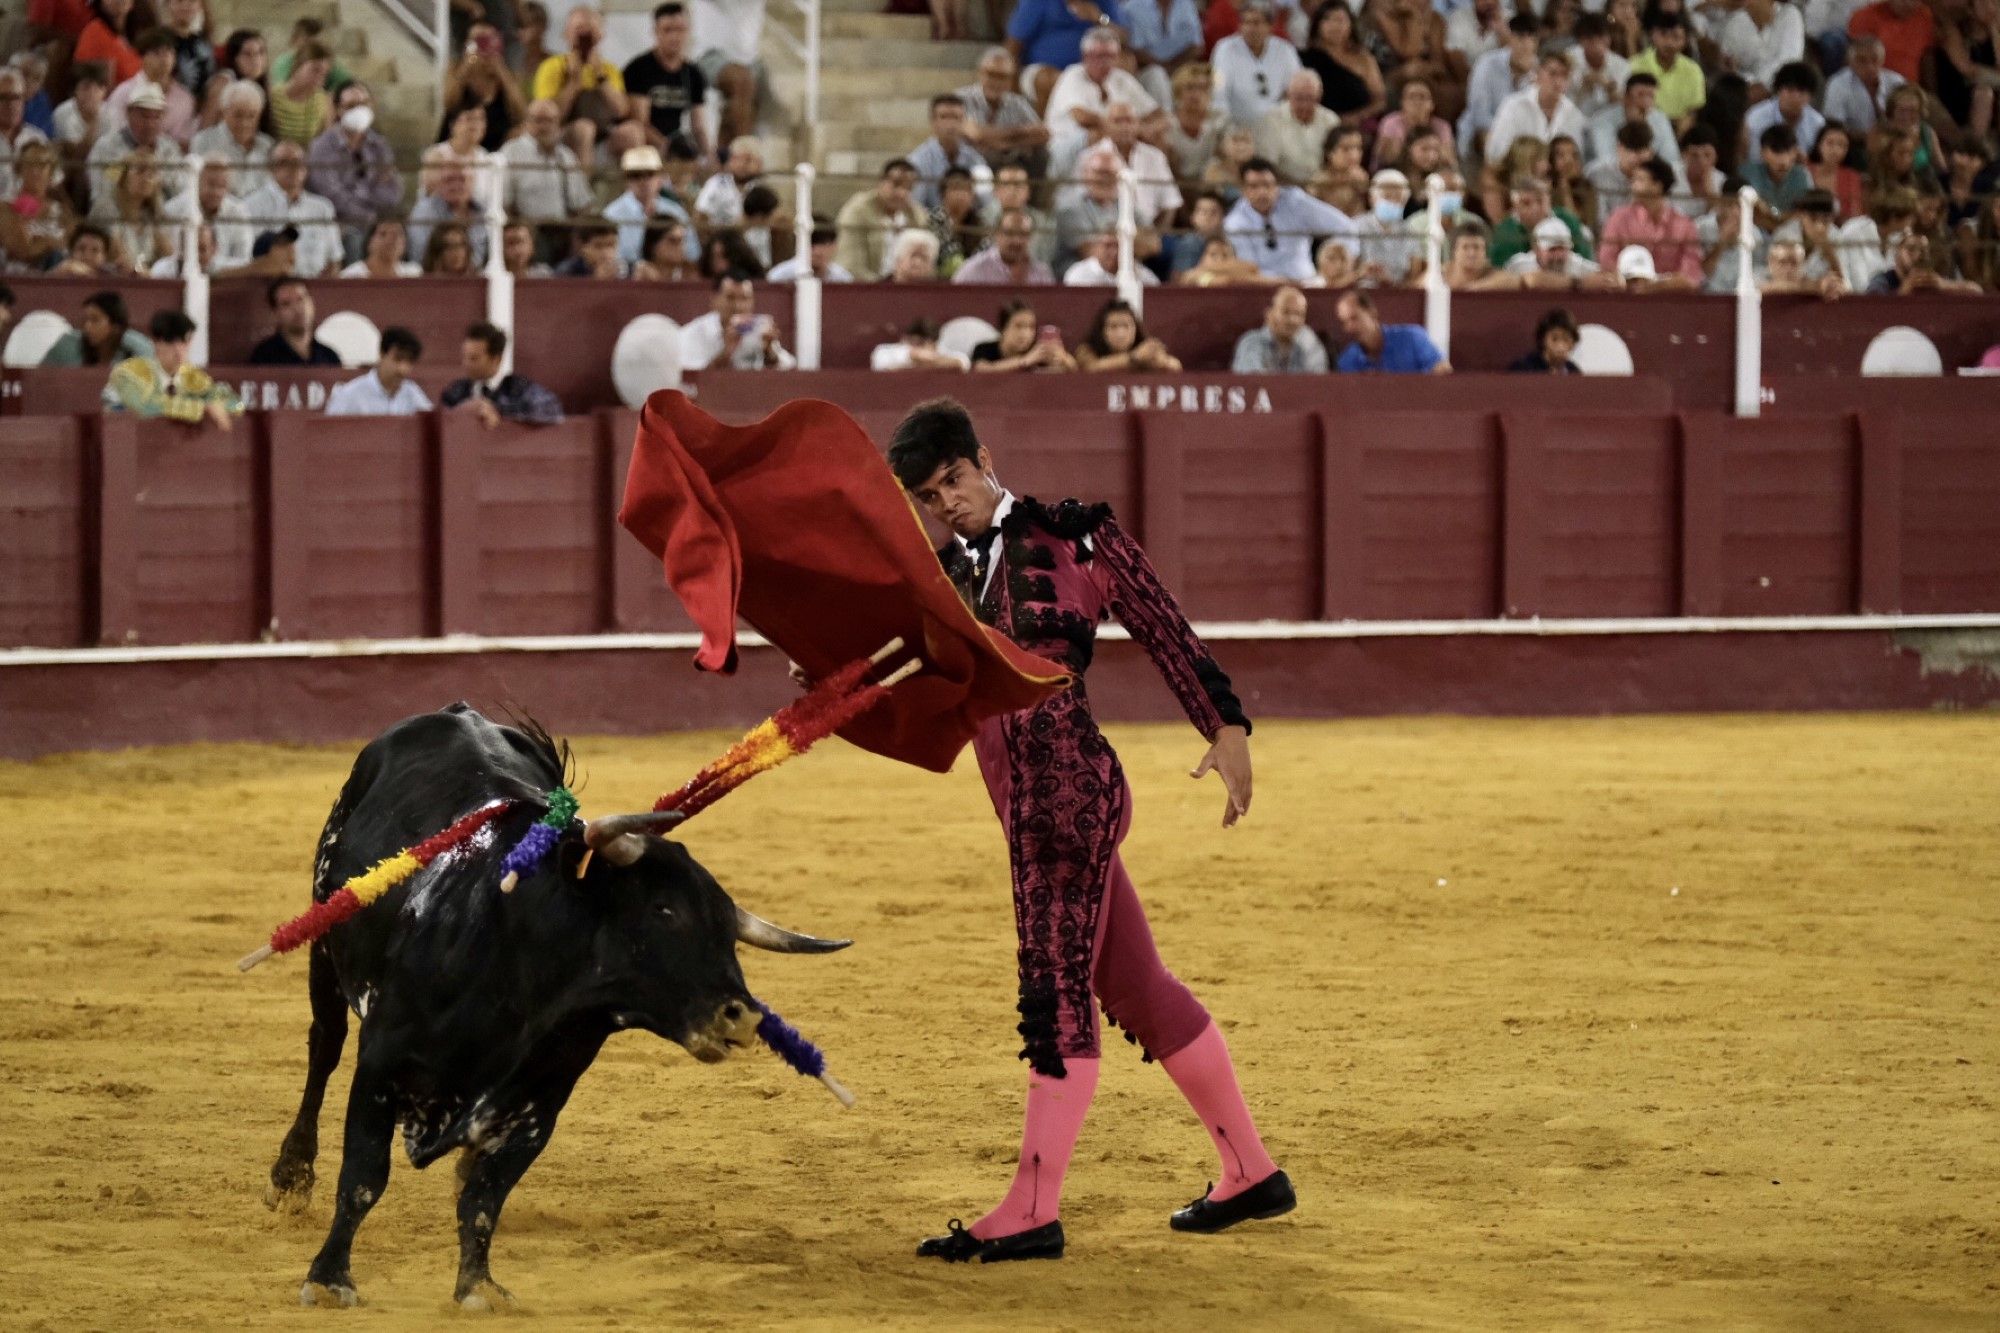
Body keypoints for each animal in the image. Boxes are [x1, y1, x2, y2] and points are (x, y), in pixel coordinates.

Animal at [262, 704, 848, 1304]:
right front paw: (329, 1279)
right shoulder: (380, 1065)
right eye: (664, 910)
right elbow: (362, 1179)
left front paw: (479, 1285)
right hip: (324, 944)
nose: (743, 1015)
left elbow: (485, 1198)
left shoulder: (539, 1104)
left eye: (729, 932)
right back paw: (291, 1177)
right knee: (323, 1048)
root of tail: (454, 713)